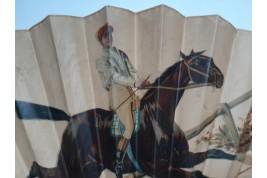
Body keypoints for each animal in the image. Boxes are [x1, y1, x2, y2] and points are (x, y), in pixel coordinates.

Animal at [17, 49, 234, 177]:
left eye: (210, 59)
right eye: (198, 63)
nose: (221, 77)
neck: (158, 118)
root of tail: (72, 118)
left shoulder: (183, 158)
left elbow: (215, 152)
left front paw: (237, 157)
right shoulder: (158, 168)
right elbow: (198, 174)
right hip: (80, 167)